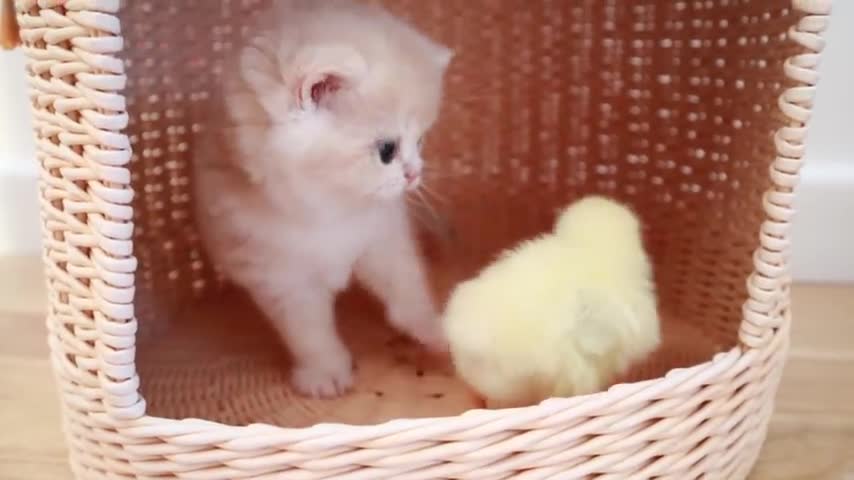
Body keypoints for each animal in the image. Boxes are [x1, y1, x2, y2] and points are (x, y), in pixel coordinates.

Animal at [194, 0, 454, 398]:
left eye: (421, 140)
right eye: (387, 150)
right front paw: (325, 372)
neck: (328, 208)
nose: (414, 174)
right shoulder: (279, 274)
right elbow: (309, 332)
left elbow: (407, 287)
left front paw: (433, 329)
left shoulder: (383, 236)